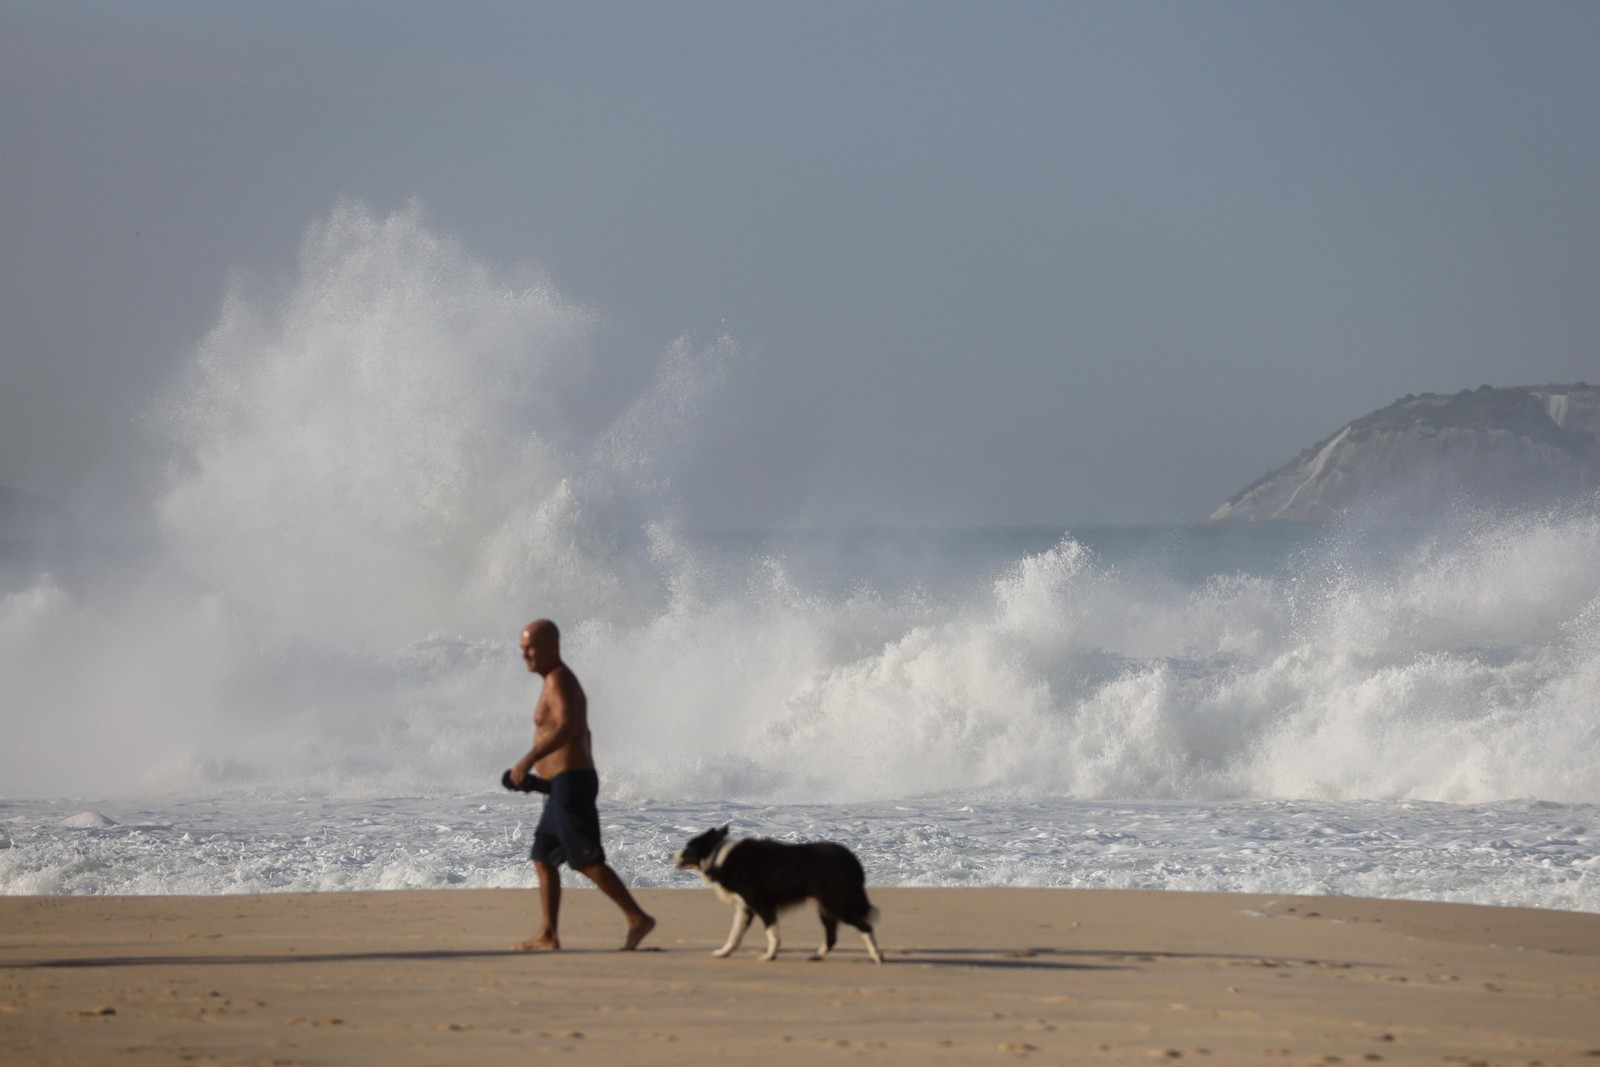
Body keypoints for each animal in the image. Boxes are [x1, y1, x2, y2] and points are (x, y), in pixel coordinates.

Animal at [668, 825, 883, 966]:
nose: (671, 855)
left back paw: (877, 955)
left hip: (837, 904)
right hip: (826, 907)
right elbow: (735, 934)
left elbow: (771, 933)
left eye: (688, 846)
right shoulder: (744, 908)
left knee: (865, 926)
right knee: (831, 936)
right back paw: (818, 956)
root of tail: (852, 860)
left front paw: (769, 956)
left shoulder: (762, 904)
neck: (719, 856)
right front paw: (724, 952)